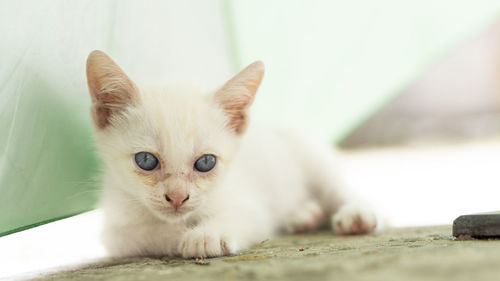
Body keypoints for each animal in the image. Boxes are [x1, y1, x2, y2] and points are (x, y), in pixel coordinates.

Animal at [87, 50, 376, 258]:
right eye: (146, 160)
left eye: (206, 162)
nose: (178, 198)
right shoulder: (114, 232)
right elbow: (140, 234)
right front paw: (182, 234)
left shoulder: (254, 208)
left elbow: (243, 215)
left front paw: (207, 235)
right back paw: (303, 215)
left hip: (311, 156)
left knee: (336, 189)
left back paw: (356, 214)